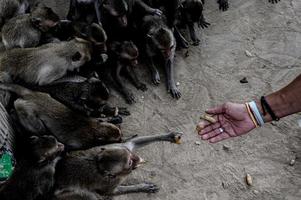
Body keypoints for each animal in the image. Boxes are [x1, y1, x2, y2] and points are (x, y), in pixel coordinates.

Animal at [52, 132, 182, 198]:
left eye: (130, 155)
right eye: (130, 163)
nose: (137, 158)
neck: (97, 162)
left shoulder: (119, 147)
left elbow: (132, 143)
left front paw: (168, 136)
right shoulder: (109, 181)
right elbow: (110, 192)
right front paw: (142, 187)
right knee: (87, 194)